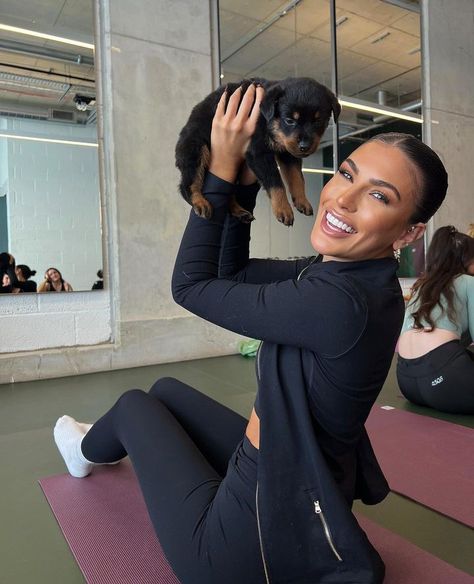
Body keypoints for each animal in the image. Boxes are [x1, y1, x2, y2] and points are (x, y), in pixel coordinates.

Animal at [176, 76, 338, 226]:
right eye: (289, 120)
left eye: (318, 121)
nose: (304, 146)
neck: (268, 121)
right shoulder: (258, 153)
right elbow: (275, 182)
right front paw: (283, 209)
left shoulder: (288, 152)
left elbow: (297, 176)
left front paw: (302, 201)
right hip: (196, 149)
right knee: (188, 184)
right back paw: (200, 202)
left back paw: (239, 211)